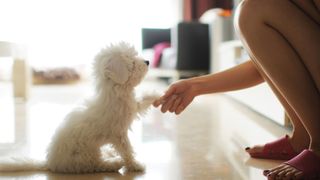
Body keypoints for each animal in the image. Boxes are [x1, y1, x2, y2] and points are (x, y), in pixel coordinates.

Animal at [0, 42, 159, 173]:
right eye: (132, 61)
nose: (147, 61)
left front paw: (156, 95)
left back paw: (110, 154)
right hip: (85, 154)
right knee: (96, 164)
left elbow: (142, 102)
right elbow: (127, 150)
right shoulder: (118, 134)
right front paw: (135, 165)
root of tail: (50, 163)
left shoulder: (133, 106)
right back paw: (113, 162)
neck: (115, 92)